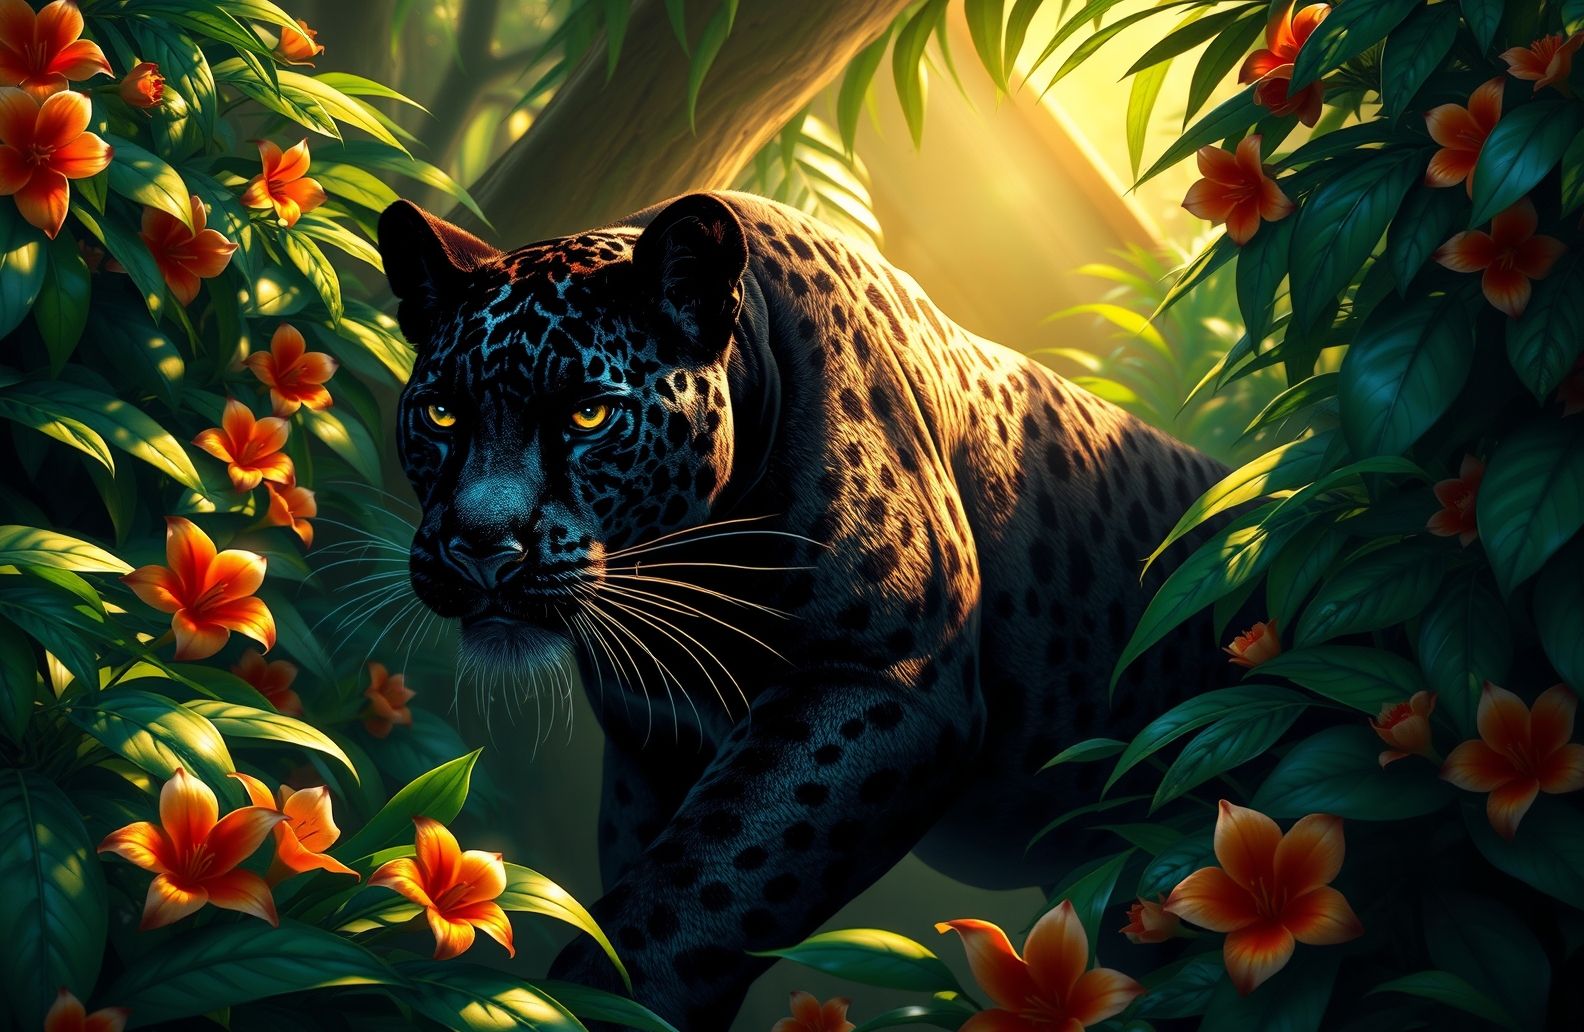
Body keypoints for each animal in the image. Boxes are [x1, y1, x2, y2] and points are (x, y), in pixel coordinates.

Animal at [377, 191, 1231, 1030]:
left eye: (589, 415)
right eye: (442, 413)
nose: (480, 545)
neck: (682, 594)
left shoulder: (885, 683)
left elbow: (695, 891)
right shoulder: (649, 745)